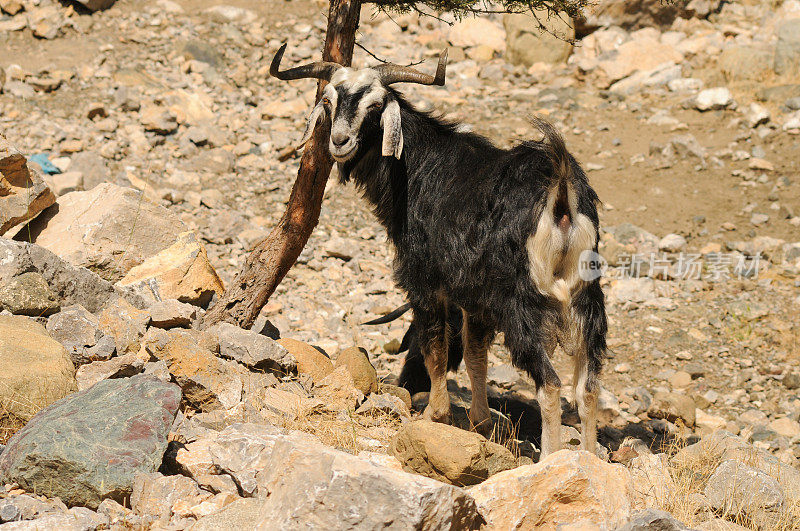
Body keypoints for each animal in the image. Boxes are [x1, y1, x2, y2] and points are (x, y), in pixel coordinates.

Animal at [272, 45, 608, 458]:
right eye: (329, 100)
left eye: (375, 104)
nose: (339, 141)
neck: (417, 167)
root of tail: (560, 193)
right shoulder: (476, 298)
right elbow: (475, 356)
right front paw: (480, 421)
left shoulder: (425, 281)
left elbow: (436, 350)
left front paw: (435, 414)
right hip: (586, 298)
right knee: (588, 387)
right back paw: (589, 458)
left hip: (522, 304)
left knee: (550, 383)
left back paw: (551, 457)